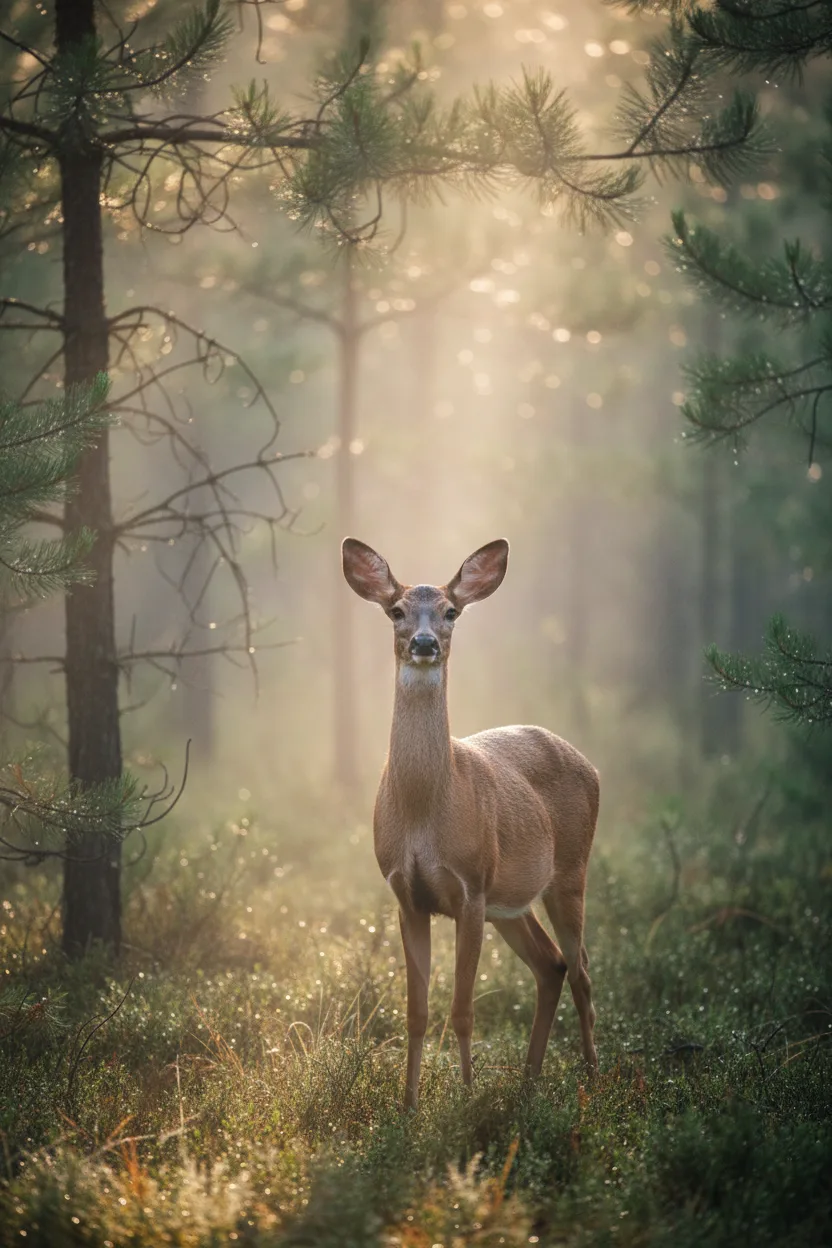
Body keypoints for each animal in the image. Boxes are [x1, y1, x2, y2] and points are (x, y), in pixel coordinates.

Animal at [342, 537, 600, 1109]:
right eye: (396, 610)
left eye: (451, 612)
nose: (423, 643)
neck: (426, 811)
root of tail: (591, 764)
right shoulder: (406, 895)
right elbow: (416, 1013)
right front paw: (409, 1104)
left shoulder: (471, 888)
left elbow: (463, 1010)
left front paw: (465, 1096)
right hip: (511, 902)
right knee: (551, 965)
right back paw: (528, 1081)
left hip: (569, 872)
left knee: (582, 971)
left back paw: (594, 1082)